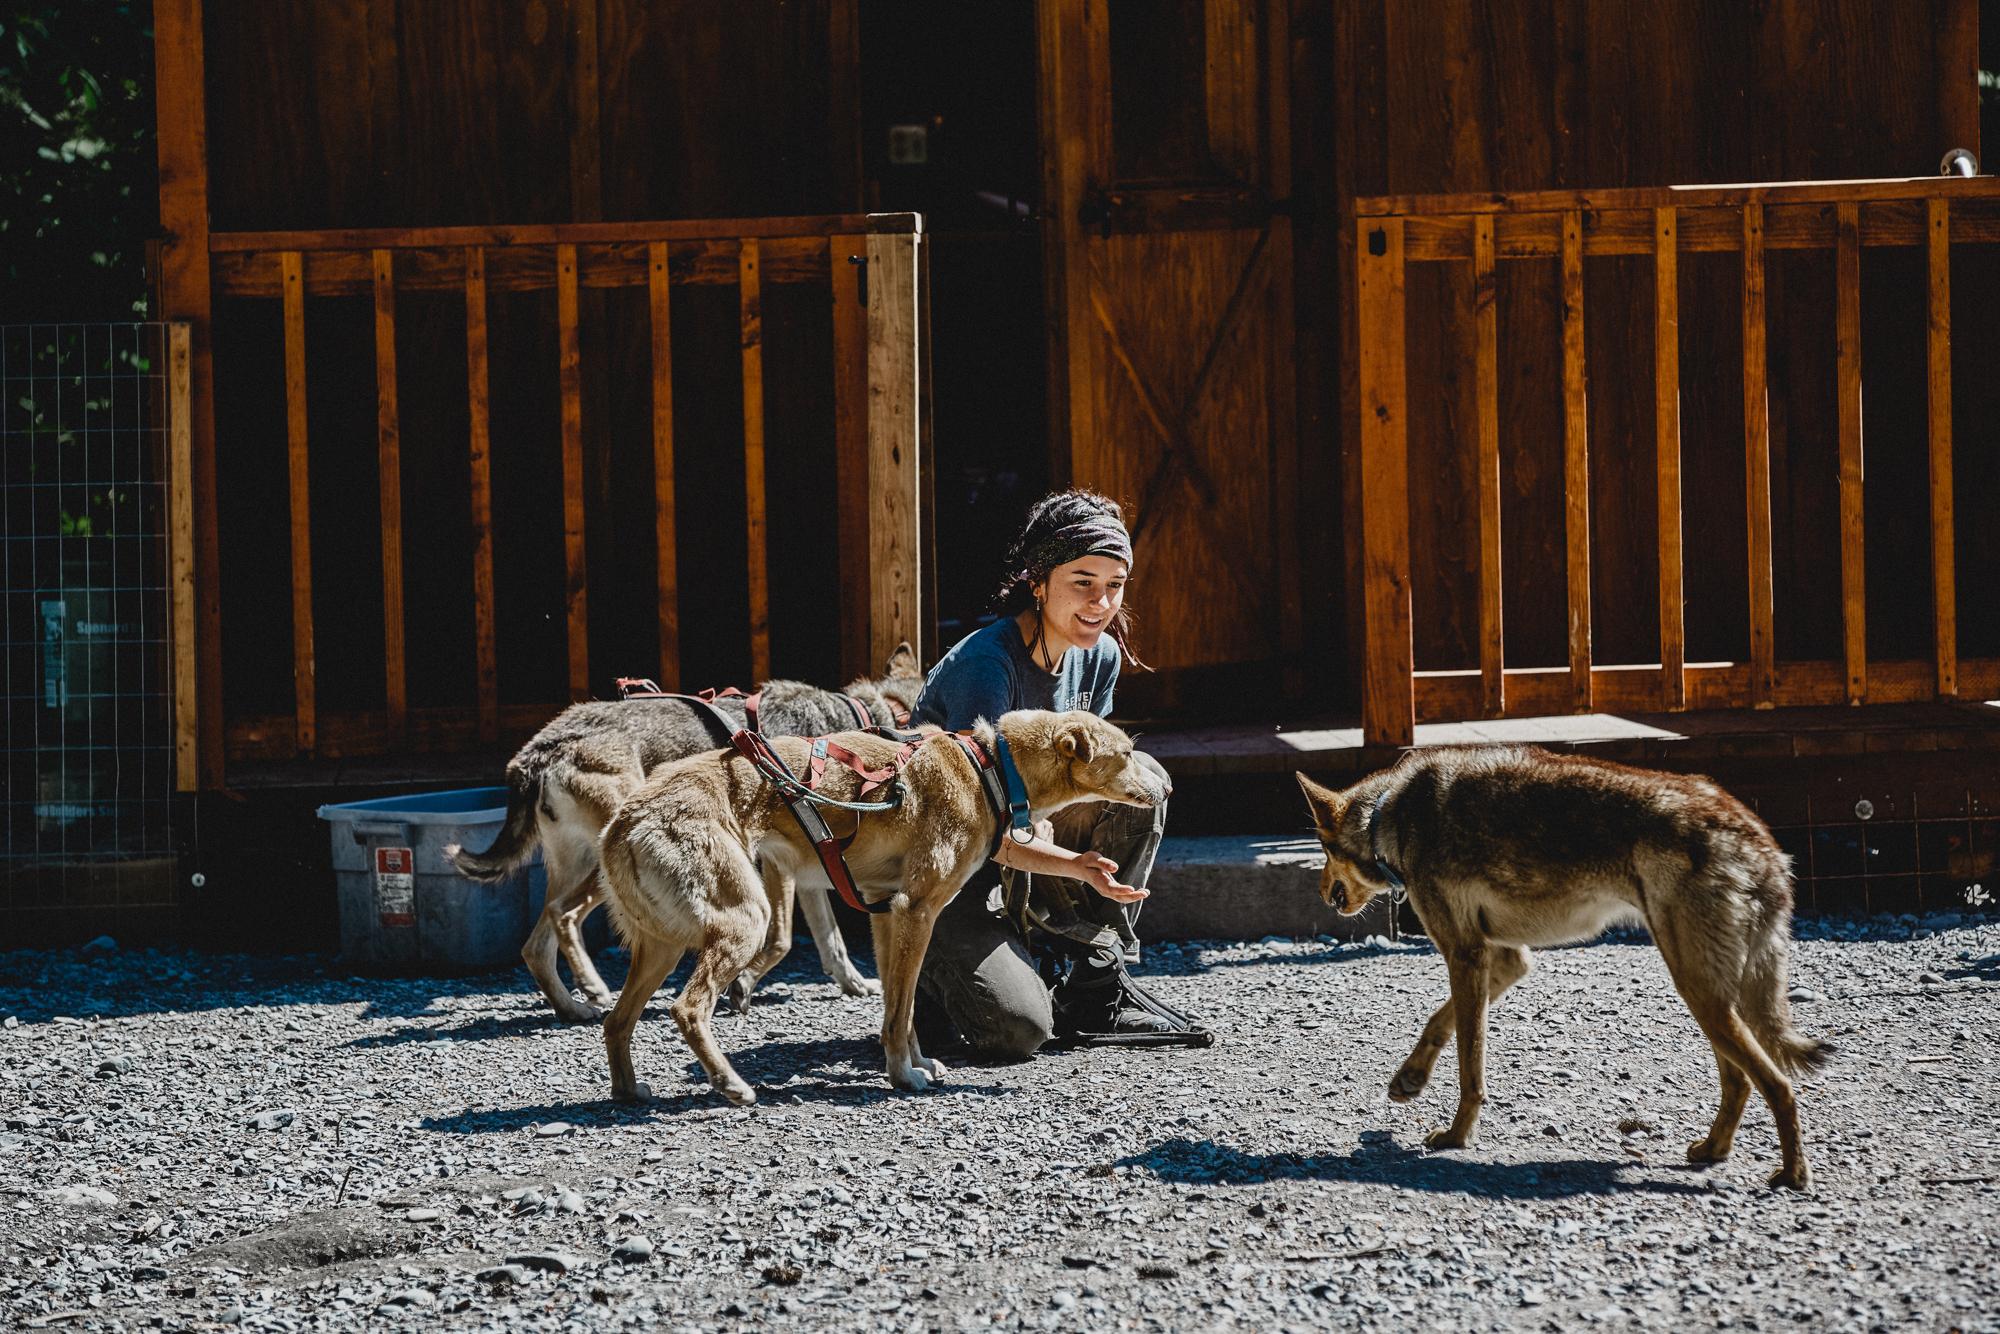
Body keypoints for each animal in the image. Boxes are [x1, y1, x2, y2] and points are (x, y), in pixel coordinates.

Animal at [446, 648, 920, 1024]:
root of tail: (539, 749)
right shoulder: (777, 864)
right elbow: (784, 940)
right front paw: (744, 986)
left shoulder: (813, 865)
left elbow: (830, 939)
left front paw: (854, 984)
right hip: (604, 869)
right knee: (563, 916)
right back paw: (593, 988)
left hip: (574, 867)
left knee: (535, 946)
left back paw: (572, 1007)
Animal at [592, 708, 1168, 1104]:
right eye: (1125, 753)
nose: (1166, 789)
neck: (989, 767)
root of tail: (621, 822)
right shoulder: (918, 910)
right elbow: (902, 1009)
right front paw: (902, 1076)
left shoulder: (888, 914)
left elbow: (900, 1006)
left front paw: (915, 1063)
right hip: (743, 921)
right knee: (686, 1008)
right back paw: (731, 1084)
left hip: (661, 945)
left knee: (616, 1021)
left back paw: (628, 1091)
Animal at [1296, 748, 1832, 1192]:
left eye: (1322, 851)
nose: (1320, 893)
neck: (1389, 815)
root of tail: (1760, 838)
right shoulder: (1505, 960)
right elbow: (1437, 1022)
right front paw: (1410, 1079)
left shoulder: (1465, 955)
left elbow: (1471, 1071)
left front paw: (1456, 1136)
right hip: (1712, 994)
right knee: (1741, 1081)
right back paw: (1713, 1150)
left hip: (1701, 992)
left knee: (1778, 1085)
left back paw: (1792, 1174)